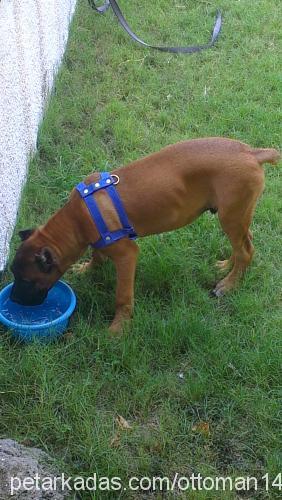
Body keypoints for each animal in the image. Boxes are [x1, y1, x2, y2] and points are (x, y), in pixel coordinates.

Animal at [9, 138, 278, 332]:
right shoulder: (99, 240)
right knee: (245, 244)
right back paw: (226, 266)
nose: (13, 299)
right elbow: (97, 253)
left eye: (27, 281)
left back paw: (228, 285)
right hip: (237, 214)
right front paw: (88, 268)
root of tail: (251, 152)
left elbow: (122, 296)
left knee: (245, 250)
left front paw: (118, 328)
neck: (77, 218)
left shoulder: (127, 255)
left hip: (231, 216)